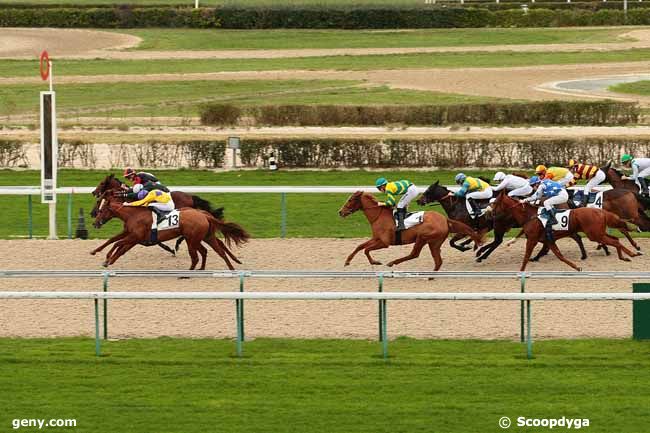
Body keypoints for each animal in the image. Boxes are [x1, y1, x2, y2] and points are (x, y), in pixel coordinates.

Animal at [93, 192, 248, 270]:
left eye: (101, 210)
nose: (95, 223)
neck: (133, 214)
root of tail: (204, 215)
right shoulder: (132, 236)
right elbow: (115, 243)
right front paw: (100, 254)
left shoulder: (135, 237)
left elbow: (118, 244)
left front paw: (107, 258)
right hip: (204, 237)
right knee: (215, 250)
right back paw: (228, 268)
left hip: (192, 239)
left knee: (197, 256)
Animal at [334, 191, 480, 268]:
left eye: (351, 200)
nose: (340, 212)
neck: (379, 216)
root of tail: (444, 219)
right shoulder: (376, 238)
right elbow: (360, 246)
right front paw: (348, 261)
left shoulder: (384, 242)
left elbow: (366, 249)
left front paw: (375, 262)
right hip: (435, 241)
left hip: (423, 238)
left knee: (414, 254)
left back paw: (392, 263)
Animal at [488, 190, 636, 270]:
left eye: (494, 203)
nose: (490, 213)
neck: (530, 216)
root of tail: (601, 211)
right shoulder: (548, 239)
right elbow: (560, 256)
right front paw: (577, 267)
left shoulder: (532, 239)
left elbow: (526, 257)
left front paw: (521, 272)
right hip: (598, 233)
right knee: (615, 239)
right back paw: (624, 256)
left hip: (594, 234)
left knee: (615, 242)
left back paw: (631, 253)